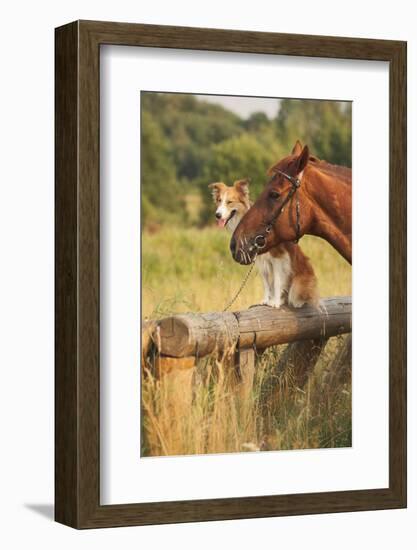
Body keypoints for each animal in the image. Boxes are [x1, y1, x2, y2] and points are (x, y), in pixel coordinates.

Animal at [208, 181, 318, 310]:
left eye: (229, 202)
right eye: (219, 200)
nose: (217, 215)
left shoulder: (278, 257)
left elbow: (277, 281)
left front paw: (275, 302)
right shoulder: (260, 260)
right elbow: (266, 283)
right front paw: (265, 300)